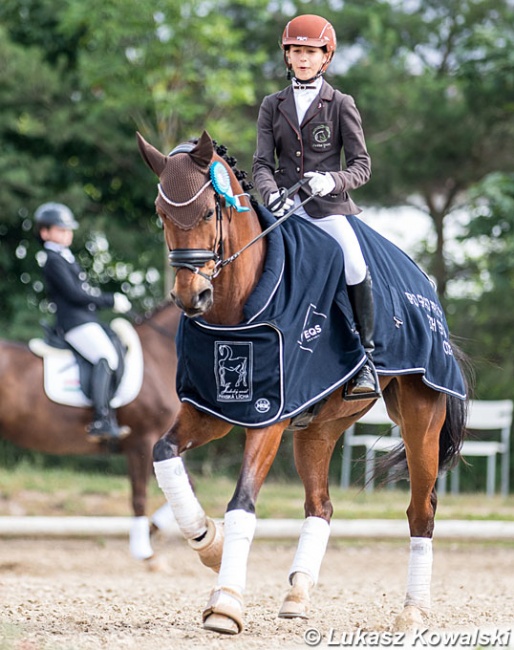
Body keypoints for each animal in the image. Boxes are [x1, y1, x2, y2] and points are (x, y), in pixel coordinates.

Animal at [0, 302, 180, 560]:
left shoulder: (160, 442)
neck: (159, 357)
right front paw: (143, 550)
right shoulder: (143, 440)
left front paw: (154, 529)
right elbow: (139, 494)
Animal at [136, 130, 468, 632]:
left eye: (210, 211)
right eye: (161, 213)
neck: (238, 308)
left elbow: (242, 502)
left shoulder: (268, 417)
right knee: (320, 505)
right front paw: (209, 542)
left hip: (420, 417)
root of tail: (424, 284)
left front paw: (226, 602)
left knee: (420, 511)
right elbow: (164, 455)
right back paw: (296, 594)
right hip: (319, 426)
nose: (191, 296)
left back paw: (413, 611)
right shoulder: (212, 410)